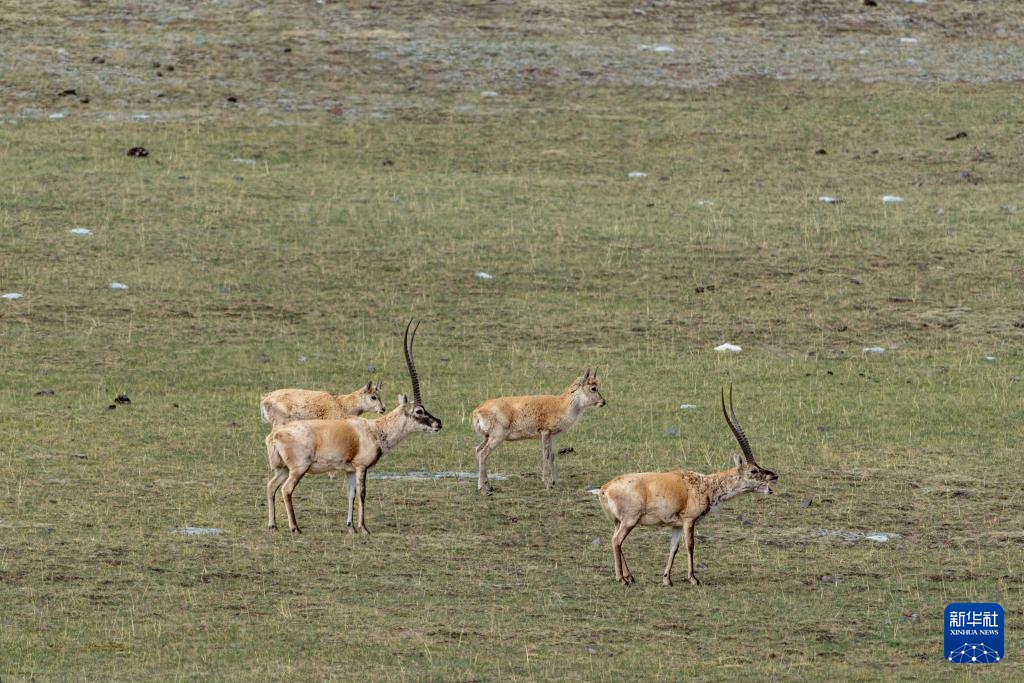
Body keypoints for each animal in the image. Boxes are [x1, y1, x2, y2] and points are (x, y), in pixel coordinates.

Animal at [264, 320, 442, 534]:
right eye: (419, 411)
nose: (438, 423)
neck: (375, 430)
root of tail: (275, 435)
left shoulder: (349, 470)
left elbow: (350, 494)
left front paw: (350, 526)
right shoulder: (361, 467)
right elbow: (362, 493)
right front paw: (363, 528)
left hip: (282, 469)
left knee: (271, 486)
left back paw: (273, 525)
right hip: (298, 469)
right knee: (286, 489)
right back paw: (295, 528)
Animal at [471, 369, 606, 494]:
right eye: (593, 388)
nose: (603, 402)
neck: (562, 405)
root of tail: (477, 411)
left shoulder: (552, 436)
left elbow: (552, 456)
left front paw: (555, 483)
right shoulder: (545, 432)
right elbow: (545, 455)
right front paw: (547, 483)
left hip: (487, 437)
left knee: (478, 449)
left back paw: (488, 486)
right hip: (497, 436)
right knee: (483, 453)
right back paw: (483, 488)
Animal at [598, 386, 778, 587]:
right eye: (754, 470)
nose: (774, 476)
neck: (705, 484)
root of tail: (605, 489)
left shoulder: (676, 525)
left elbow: (673, 547)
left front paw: (667, 579)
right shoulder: (689, 520)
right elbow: (690, 545)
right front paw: (693, 578)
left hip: (619, 522)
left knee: (617, 541)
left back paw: (629, 576)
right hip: (630, 520)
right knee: (616, 541)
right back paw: (622, 579)